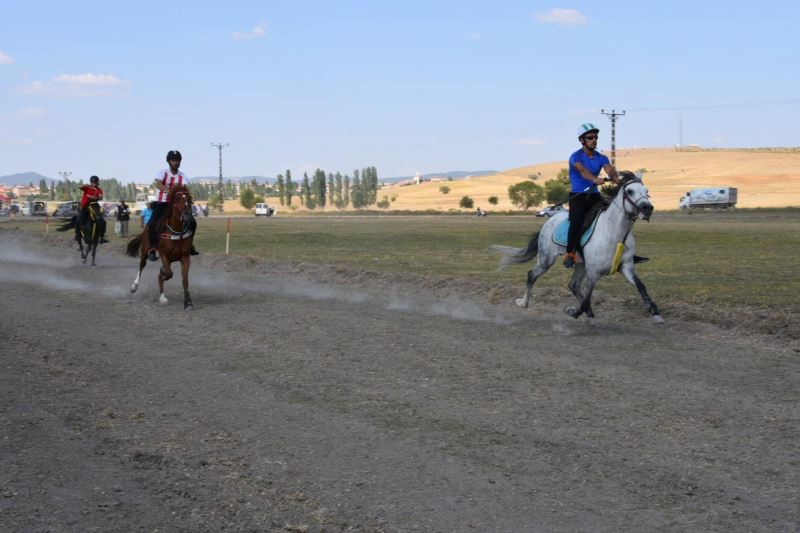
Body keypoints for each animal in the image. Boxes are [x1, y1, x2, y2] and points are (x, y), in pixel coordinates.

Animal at [494, 170, 664, 322]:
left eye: (646, 191)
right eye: (630, 191)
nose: (647, 208)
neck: (614, 233)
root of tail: (550, 220)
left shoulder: (626, 267)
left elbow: (641, 286)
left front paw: (654, 310)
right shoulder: (593, 273)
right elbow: (587, 299)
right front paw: (573, 312)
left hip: (580, 263)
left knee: (573, 285)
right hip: (546, 259)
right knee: (532, 275)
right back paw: (523, 303)